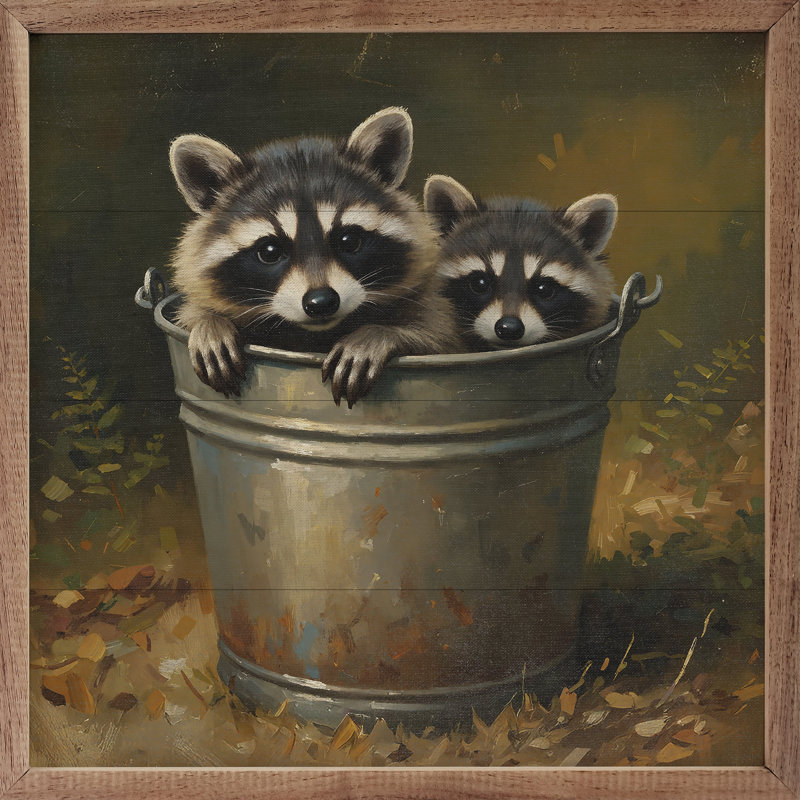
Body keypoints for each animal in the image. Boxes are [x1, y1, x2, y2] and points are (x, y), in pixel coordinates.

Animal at [169, 108, 457, 406]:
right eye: (270, 251)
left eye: (349, 241)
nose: (321, 302)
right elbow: (193, 311)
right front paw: (209, 323)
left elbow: (437, 335)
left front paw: (378, 334)